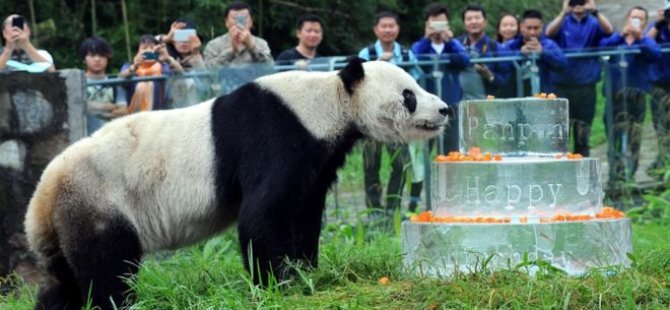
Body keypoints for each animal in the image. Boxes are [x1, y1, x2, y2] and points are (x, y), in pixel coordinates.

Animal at [23, 58, 448, 310]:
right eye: (409, 94)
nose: (443, 109)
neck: (329, 100)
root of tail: (40, 198)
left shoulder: (317, 156)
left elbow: (305, 210)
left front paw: (307, 270)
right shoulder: (276, 133)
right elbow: (264, 213)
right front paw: (279, 282)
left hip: (67, 219)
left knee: (63, 279)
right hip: (99, 200)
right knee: (108, 266)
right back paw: (120, 303)